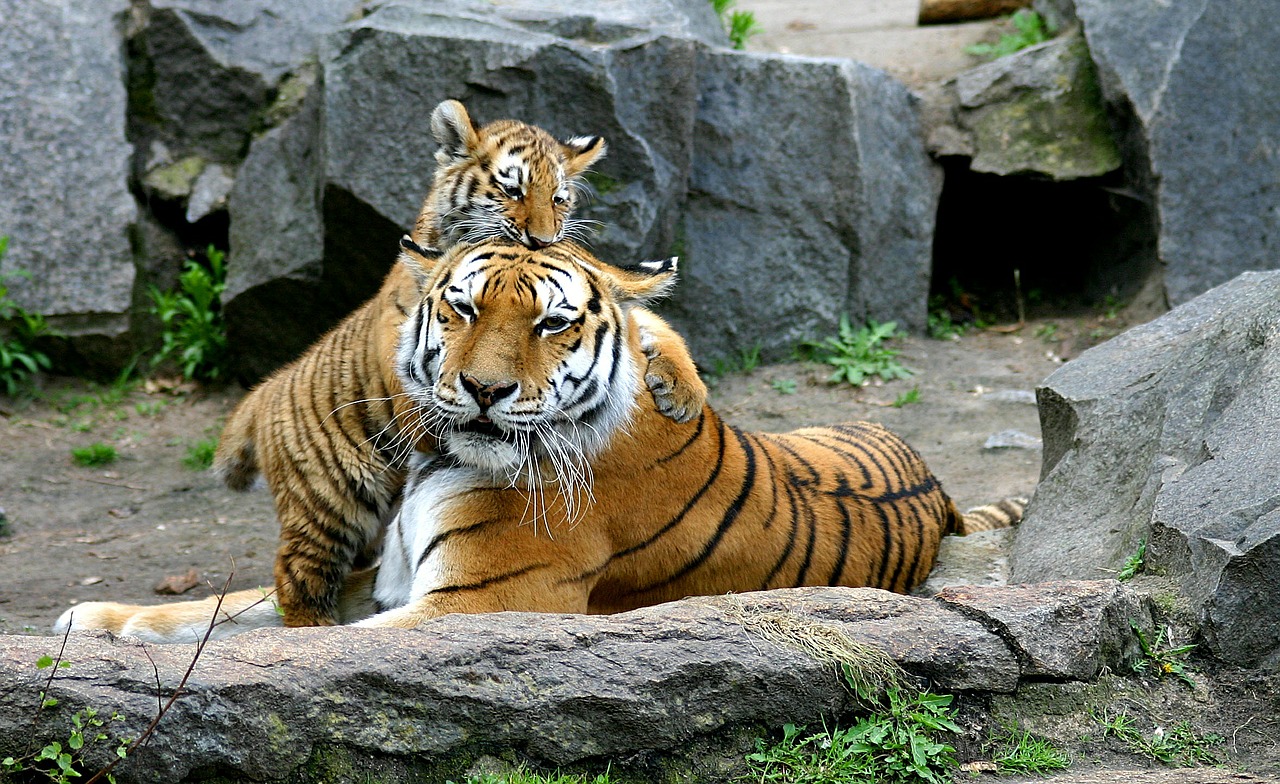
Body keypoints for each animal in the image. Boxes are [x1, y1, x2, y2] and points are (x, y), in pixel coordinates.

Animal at [57, 240, 1018, 643]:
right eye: (462, 307)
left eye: (553, 323)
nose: (483, 390)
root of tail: (941, 492)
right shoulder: (380, 580)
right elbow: (225, 606)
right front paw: (95, 621)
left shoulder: (474, 603)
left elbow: (293, 645)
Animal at [213, 99, 706, 625]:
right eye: (512, 190)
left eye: (559, 199)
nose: (542, 240)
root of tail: (265, 390)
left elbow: (649, 322)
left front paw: (683, 392)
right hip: (328, 504)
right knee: (298, 578)